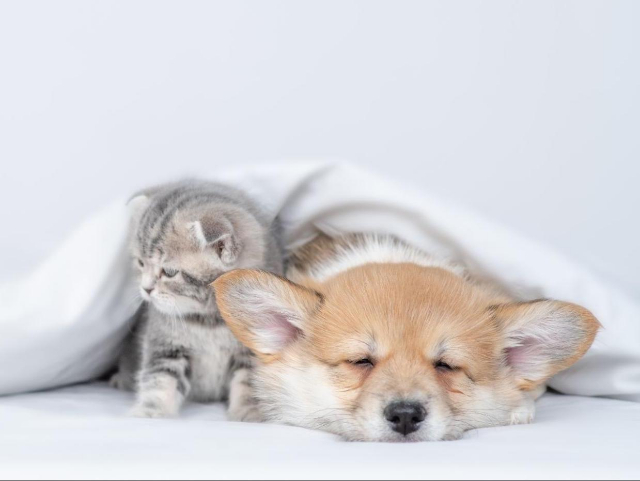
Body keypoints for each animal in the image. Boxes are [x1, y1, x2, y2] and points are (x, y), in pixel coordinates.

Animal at [111, 178, 284, 418]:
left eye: (170, 272)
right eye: (140, 263)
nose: (146, 289)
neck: (210, 321)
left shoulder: (255, 348)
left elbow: (250, 383)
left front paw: (250, 414)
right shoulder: (165, 344)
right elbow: (160, 380)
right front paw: (149, 412)